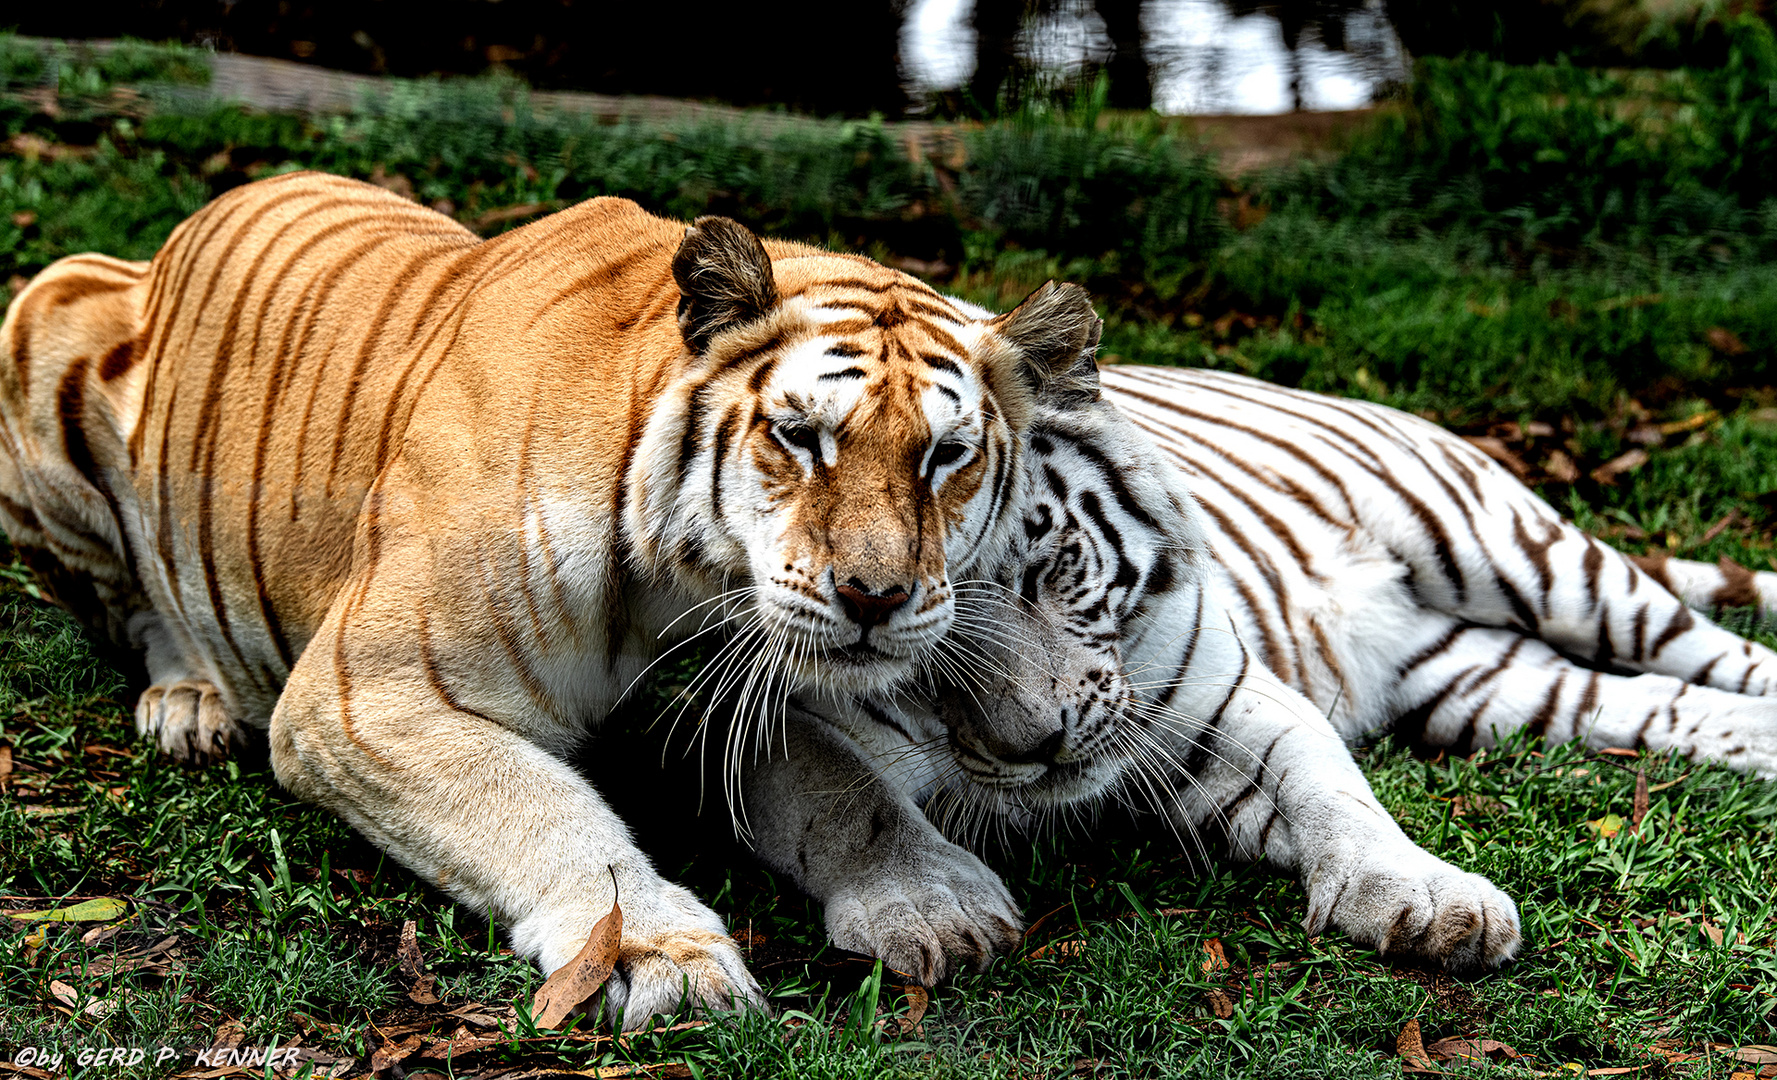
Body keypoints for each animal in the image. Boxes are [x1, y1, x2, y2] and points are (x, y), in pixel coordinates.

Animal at [0, 168, 1101, 1030]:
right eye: (799, 436)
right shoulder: (363, 696)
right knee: (134, 605)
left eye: (945, 455)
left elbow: (845, 786)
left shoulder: (736, 687)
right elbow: (548, 817)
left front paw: (933, 902)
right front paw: (661, 959)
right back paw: (190, 701)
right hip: (50, 308)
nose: (877, 597)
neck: (686, 579)